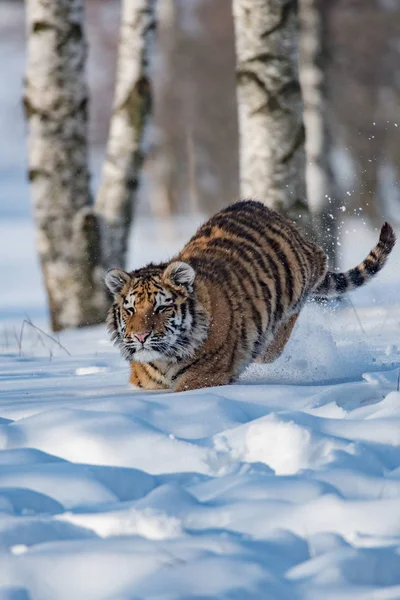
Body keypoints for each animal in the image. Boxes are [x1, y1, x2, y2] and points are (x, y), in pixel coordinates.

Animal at [104, 199, 396, 392]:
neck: (163, 360)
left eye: (161, 308)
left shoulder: (204, 378)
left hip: (299, 283)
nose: (141, 337)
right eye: (130, 310)